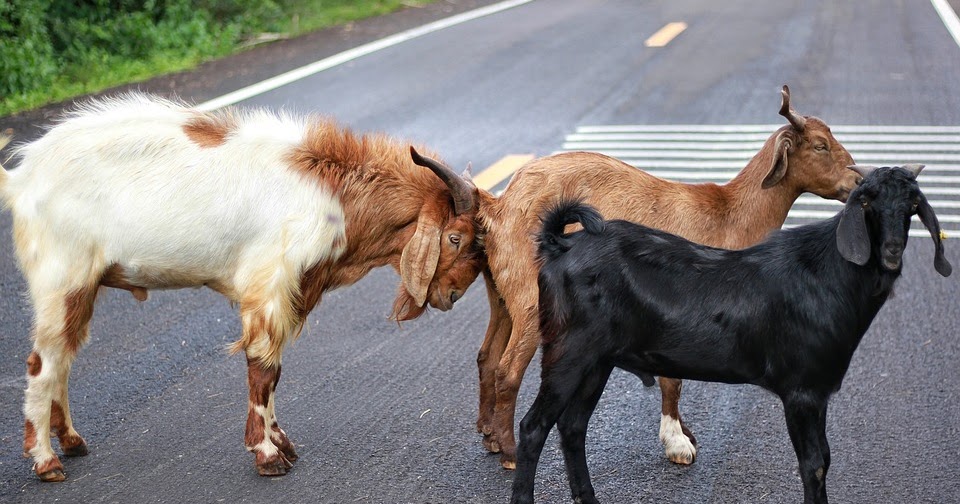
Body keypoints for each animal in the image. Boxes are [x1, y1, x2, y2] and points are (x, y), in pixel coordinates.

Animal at [0, 94, 484, 482]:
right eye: (455, 238)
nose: (452, 296)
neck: (334, 194)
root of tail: (22, 179)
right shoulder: (269, 284)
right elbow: (263, 367)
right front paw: (268, 454)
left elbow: (275, 370)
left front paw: (281, 441)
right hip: (62, 280)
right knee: (41, 363)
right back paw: (46, 461)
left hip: (80, 288)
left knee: (62, 358)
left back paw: (71, 441)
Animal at [415, 85, 862, 469]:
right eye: (820, 145)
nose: (858, 180)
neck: (728, 214)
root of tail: (501, 206)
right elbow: (672, 379)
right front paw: (677, 444)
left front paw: (684, 434)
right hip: (529, 298)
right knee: (508, 369)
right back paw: (510, 452)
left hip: (502, 294)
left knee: (487, 356)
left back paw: (490, 437)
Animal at [510, 165, 952, 504]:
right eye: (866, 203)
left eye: (913, 206)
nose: (892, 252)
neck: (827, 274)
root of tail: (560, 244)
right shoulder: (802, 392)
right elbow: (814, 464)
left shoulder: (819, 391)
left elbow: (824, 458)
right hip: (569, 350)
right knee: (534, 427)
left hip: (597, 361)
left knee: (572, 428)